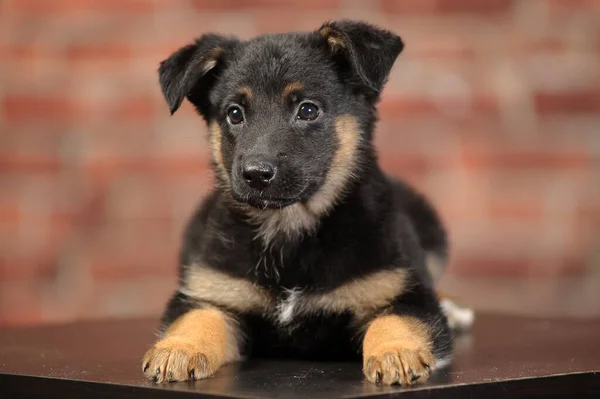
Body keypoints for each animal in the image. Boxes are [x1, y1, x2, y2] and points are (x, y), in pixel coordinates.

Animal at [142, 19, 474, 388]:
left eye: (308, 110)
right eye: (234, 114)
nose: (256, 174)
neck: (290, 228)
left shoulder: (402, 292)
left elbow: (395, 319)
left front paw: (396, 352)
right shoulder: (214, 293)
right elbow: (196, 318)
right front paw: (177, 349)